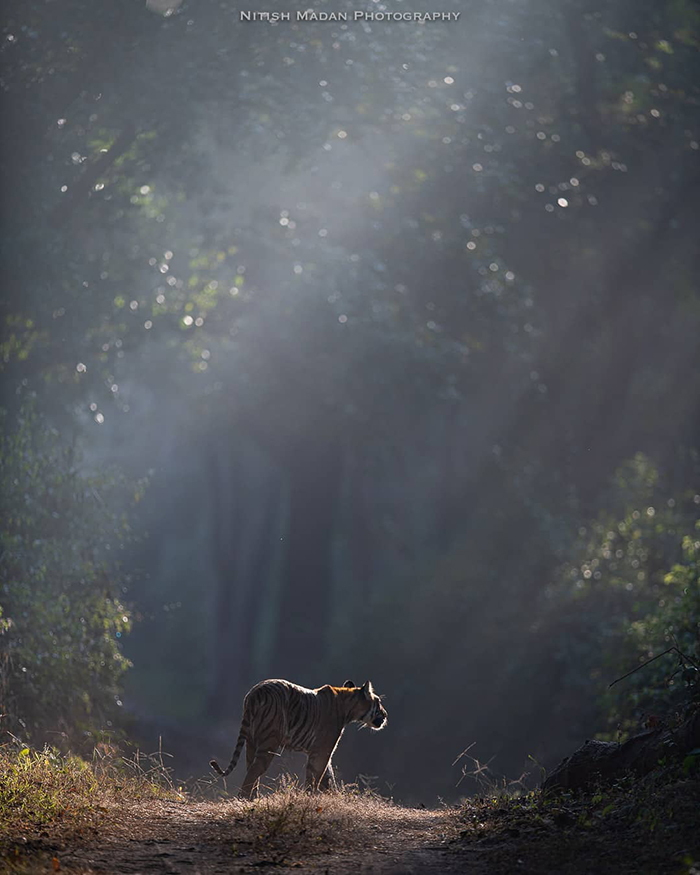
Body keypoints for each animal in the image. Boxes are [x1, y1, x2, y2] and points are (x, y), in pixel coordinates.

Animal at [211, 676, 392, 800]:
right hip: (269, 741)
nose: (385, 715)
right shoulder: (323, 749)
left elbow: (327, 775)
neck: (347, 707)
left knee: (251, 769)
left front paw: (330, 796)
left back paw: (252, 798)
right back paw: (245, 799)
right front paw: (311, 797)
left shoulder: (318, 750)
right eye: (378, 702)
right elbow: (316, 775)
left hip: (251, 741)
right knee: (255, 770)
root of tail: (254, 693)